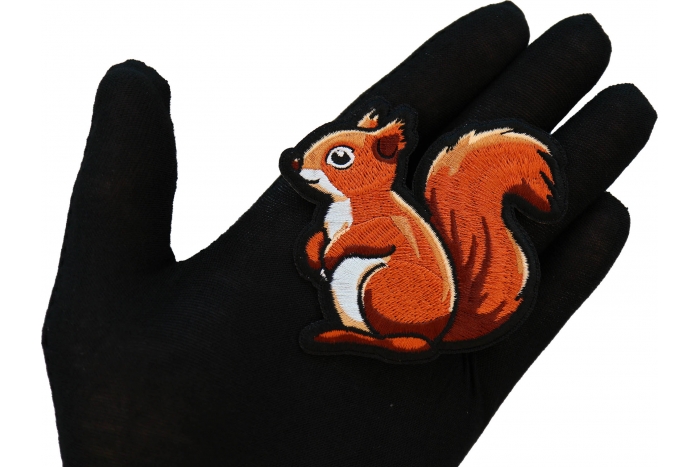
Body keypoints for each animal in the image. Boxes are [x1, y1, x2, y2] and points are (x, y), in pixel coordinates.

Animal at [280, 101, 566, 362]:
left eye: (340, 157)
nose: (292, 161)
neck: (347, 202)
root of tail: (441, 333)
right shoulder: (329, 225)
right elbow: (318, 237)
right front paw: (314, 257)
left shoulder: (390, 223)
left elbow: (363, 237)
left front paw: (330, 256)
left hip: (381, 286)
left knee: (409, 344)